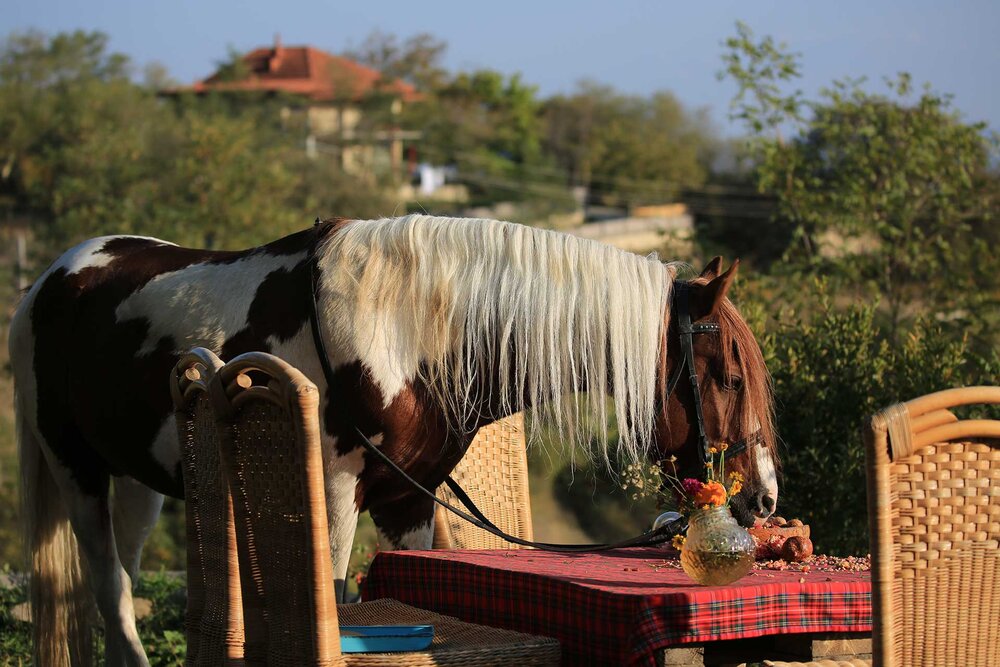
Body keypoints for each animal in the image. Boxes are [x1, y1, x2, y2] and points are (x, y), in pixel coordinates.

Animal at [13, 215, 780, 667]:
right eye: (730, 375)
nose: (763, 501)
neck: (407, 330)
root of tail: (51, 277)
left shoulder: (408, 503)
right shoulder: (331, 493)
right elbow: (329, 599)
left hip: (140, 484)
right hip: (75, 469)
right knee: (109, 586)